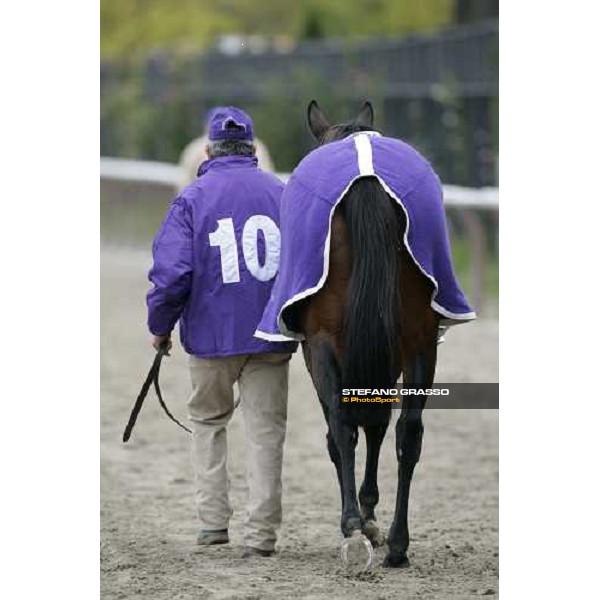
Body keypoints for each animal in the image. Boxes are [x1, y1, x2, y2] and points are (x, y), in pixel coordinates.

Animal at [292, 99, 438, 568]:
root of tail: (366, 181)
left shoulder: (321, 350)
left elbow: (346, 430)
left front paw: (363, 516)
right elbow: (378, 424)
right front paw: (374, 516)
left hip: (323, 346)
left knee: (342, 427)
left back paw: (354, 524)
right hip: (419, 343)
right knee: (409, 432)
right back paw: (398, 543)